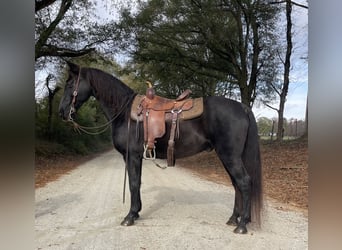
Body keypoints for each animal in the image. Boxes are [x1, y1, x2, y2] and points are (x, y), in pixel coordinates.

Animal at [58, 61, 262, 233]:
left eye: (70, 84)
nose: (61, 112)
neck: (124, 112)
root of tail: (242, 107)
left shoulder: (132, 156)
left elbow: (133, 183)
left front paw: (129, 216)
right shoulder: (136, 157)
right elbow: (137, 182)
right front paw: (136, 212)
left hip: (229, 156)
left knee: (244, 182)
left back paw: (242, 225)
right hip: (228, 156)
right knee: (236, 184)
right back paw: (234, 219)